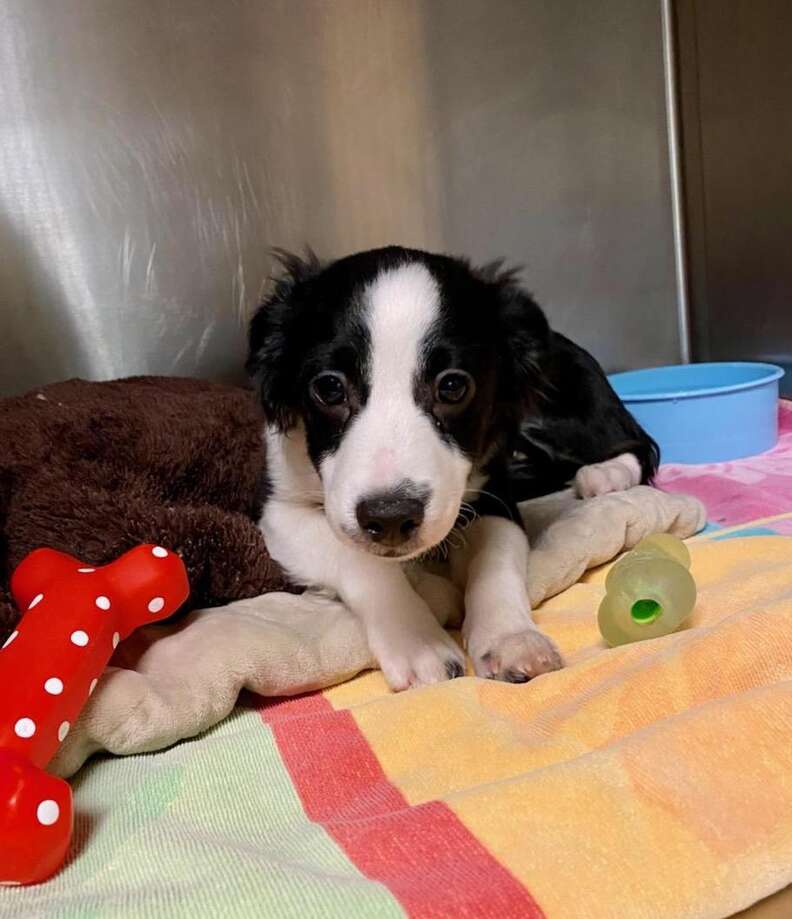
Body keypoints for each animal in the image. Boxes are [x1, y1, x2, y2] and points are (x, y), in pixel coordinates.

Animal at [246, 244, 656, 688]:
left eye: (453, 386)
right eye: (328, 387)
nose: (391, 518)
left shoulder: (495, 499)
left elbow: (495, 560)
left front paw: (511, 637)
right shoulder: (279, 511)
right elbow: (357, 556)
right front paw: (416, 641)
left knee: (634, 441)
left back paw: (607, 475)